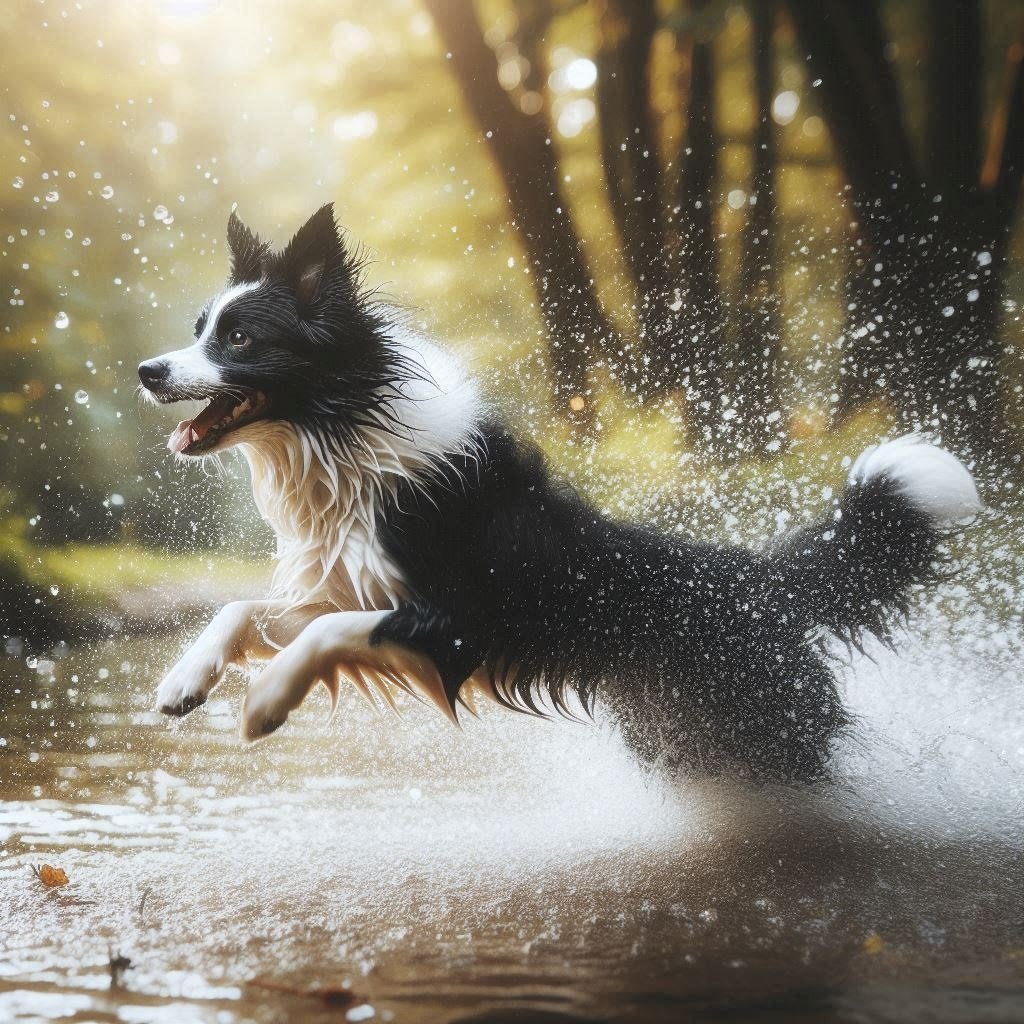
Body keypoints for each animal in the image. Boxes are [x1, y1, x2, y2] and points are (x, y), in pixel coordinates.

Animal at [138, 205, 983, 782]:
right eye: (200, 327)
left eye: (240, 339)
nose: (148, 370)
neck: (344, 434)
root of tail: (756, 576)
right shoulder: (344, 583)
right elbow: (245, 609)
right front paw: (184, 682)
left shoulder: (458, 622)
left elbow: (326, 636)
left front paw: (266, 701)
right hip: (684, 733)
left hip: (769, 724)